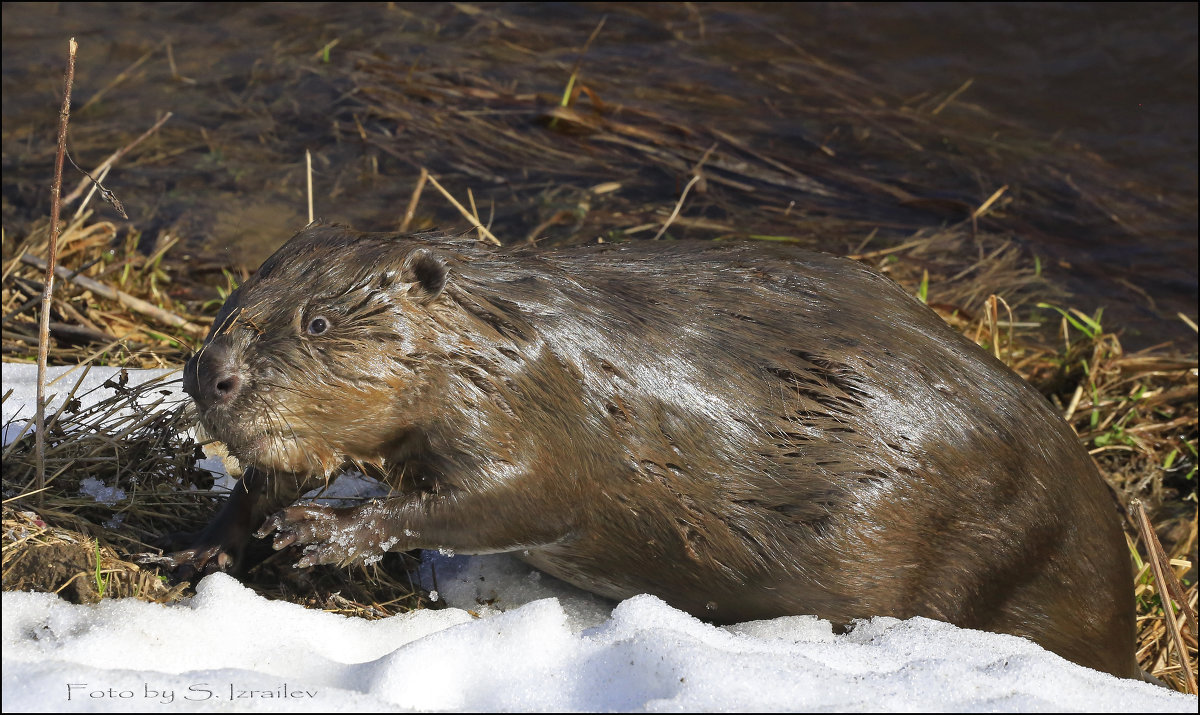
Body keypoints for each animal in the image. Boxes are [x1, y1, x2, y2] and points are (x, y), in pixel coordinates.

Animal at [175, 226, 1132, 676]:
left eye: (318, 322)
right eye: (236, 299)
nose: (209, 373)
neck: (505, 330)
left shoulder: (544, 405)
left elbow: (515, 494)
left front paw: (323, 533)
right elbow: (283, 469)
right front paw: (204, 543)